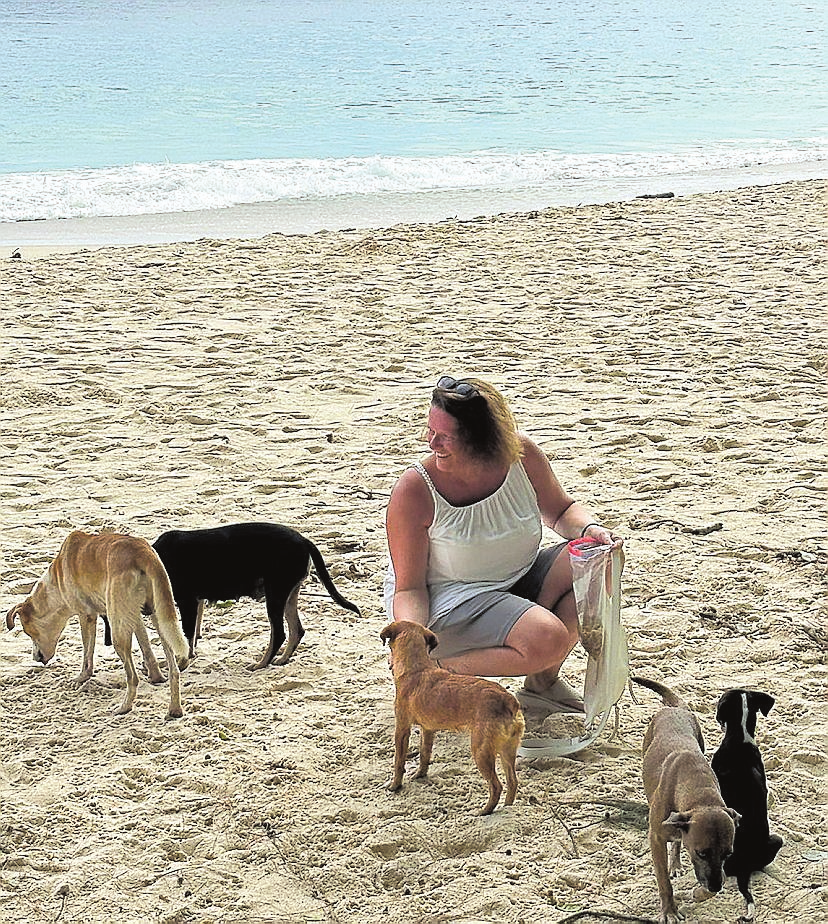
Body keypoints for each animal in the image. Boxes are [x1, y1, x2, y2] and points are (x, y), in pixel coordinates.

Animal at [6, 532, 191, 720]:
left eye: (29, 633)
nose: (35, 658)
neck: (56, 582)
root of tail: (142, 552)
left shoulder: (86, 616)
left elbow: (87, 653)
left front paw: (81, 678)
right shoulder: (135, 615)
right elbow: (146, 645)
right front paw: (155, 676)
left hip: (118, 631)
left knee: (132, 677)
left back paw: (124, 707)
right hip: (160, 617)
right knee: (173, 669)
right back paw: (175, 708)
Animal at [154, 524, 360, 668]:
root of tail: (304, 540)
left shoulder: (187, 601)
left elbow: (187, 634)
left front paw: (182, 663)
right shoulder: (196, 602)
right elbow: (192, 636)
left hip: (275, 593)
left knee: (279, 633)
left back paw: (261, 664)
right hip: (288, 593)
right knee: (296, 630)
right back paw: (282, 659)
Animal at [380, 620, 524, 816]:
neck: (417, 669)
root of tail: (508, 701)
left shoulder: (402, 729)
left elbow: (399, 761)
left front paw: (395, 785)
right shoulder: (428, 730)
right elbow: (424, 754)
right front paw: (420, 774)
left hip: (481, 750)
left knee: (496, 786)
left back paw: (484, 812)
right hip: (507, 750)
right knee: (512, 782)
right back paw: (507, 808)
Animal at [632, 672, 740, 924]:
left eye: (728, 853)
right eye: (702, 853)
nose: (715, 887)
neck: (700, 794)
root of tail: (676, 708)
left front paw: (701, 893)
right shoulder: (656, 839)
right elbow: (663, 881)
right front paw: (669, 910)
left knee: (677, 841)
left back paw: (676, 862)